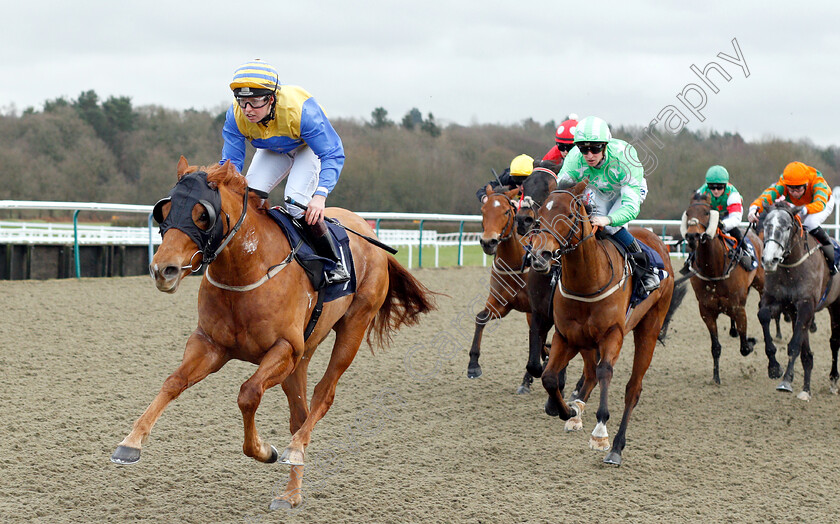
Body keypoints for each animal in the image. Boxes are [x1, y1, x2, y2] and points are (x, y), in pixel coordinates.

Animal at [110, 158, 436, 510]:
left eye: (202, 215)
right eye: (165, 210)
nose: (163, 270)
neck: (246, 271)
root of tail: (367, 230)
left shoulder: (284, 349)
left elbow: (248, 393)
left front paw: (265, 450)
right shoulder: (211, 345)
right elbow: (173, 382)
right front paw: (130, 443)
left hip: (353, 327)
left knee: (323, 396)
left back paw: (295, 449)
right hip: (304, 354)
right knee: (300, 413)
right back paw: (291, 493)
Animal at [466, 186, 540, 390]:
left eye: (506, 211)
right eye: (483, 211)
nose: (488, 242)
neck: (514, 264)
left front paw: (529, 376)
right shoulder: (501, 304)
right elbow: (480, 318)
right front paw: (473, 365)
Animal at [532, 182, 684, 464]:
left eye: (568, 215)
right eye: (540, 216)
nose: (540, 255)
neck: (587, 279)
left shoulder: (613, 334)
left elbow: (605, 371)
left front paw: (600, 431)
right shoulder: (567, 336)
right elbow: (549, 377)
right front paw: (569, 411)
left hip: (649, 327)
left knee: (633, 388)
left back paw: (616, 447)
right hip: (587, 341)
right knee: (590, 373)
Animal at [680, 190, 772, 382]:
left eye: (706, 213)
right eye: (688, 213)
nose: (692, 236)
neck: (714, 268)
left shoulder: (738, 307)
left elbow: (745, 347)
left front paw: (752, 341)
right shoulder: (706, 311)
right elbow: (715, 347)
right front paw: (716, 377)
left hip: (761, 283)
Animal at [756, 203, 840, 400]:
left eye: (786, 227)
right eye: (766, 225)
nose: (769, 260)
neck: (791, 268)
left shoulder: (806, 305)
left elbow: (794, 345)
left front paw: (786, 381)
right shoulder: (779, 301)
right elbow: (763, 315)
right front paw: (774, 367)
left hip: (836, 305)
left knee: (834, 341)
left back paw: (833, 380)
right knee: (807, 350)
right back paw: (806, 388)